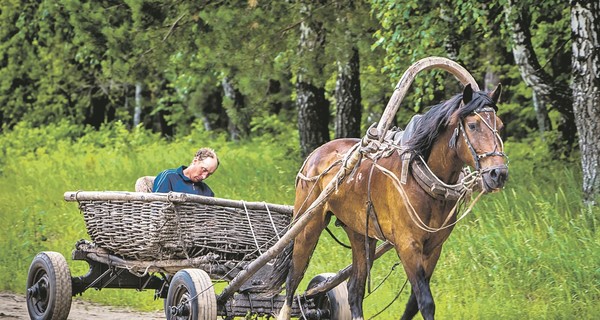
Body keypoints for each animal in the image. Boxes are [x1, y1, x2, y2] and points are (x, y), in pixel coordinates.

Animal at [270, 82, 508, 320]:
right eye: (473, 125)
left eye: (500, 125)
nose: (498, 173)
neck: (422, 182)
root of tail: (315, 153)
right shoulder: (407, 245)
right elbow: (425, 301)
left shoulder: (433, 248)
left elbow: (414, 303)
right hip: (308, 224)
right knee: (293, 279)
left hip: (361, 234)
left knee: (354, 289)